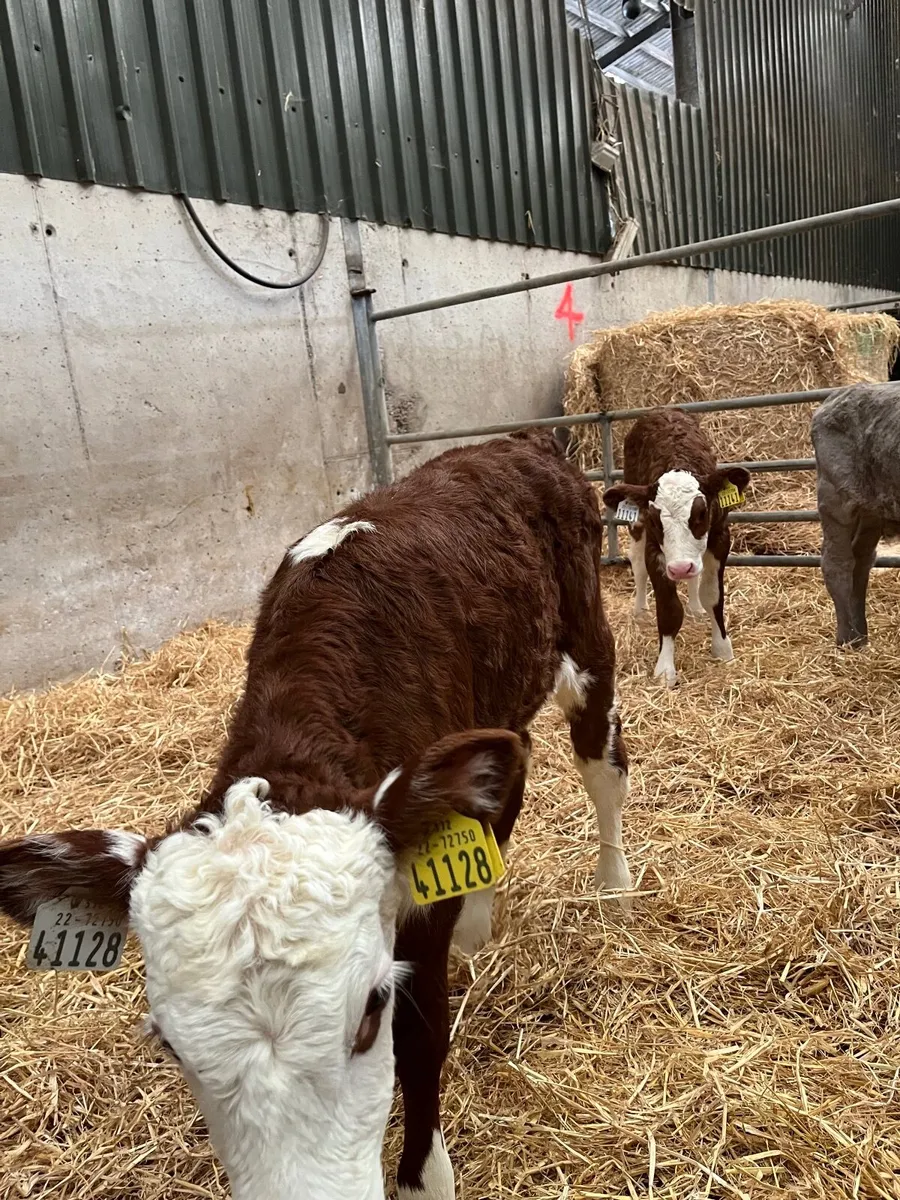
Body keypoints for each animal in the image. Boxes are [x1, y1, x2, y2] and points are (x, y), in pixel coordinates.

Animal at [0, 430, 632, 1200]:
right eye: (170, 1045)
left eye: (369, 1012)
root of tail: (519, 442)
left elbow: (422, 1041)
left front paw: (425, 1177)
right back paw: (480, 924)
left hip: (588, 644)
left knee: (602, 761)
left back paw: (614, 885)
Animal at [602, 408, 750, 687]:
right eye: (655, 519)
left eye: (701, 513)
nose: (680, 568)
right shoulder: (653, 547)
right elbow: (668, 609)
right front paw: (665, 668)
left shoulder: (720, 536)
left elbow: (713, 594)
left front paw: (722, 649)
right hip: (636, 525)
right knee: (637, 566)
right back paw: (640, 610)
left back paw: (695, 608)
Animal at [811, 381, 900, 646]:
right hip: (835, 501)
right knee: (837, 562)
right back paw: (848, 638)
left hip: (871, 511)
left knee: (861, 562)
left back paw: (860, 633)